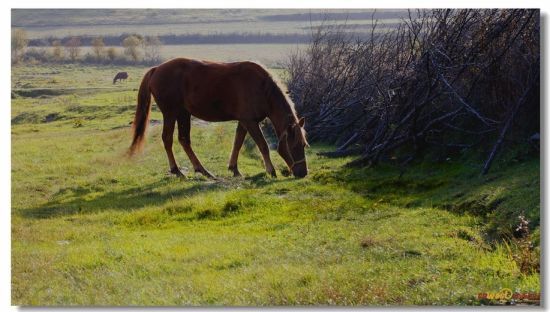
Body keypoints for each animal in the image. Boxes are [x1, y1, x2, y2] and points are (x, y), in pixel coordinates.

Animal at [129, 57, 310, 177]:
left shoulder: (244, 121)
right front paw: (271, 171)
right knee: (167, 139)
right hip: (171, 113)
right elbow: (263, 145)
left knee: (184, 140)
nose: (303, 173)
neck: (262, 88)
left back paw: (202, 170)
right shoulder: (250, 122)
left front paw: (234, 168)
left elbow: (238, 143)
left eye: (304, 145)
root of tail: (156, 69)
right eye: (294, 146)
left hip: (183, 114)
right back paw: (176, 170)